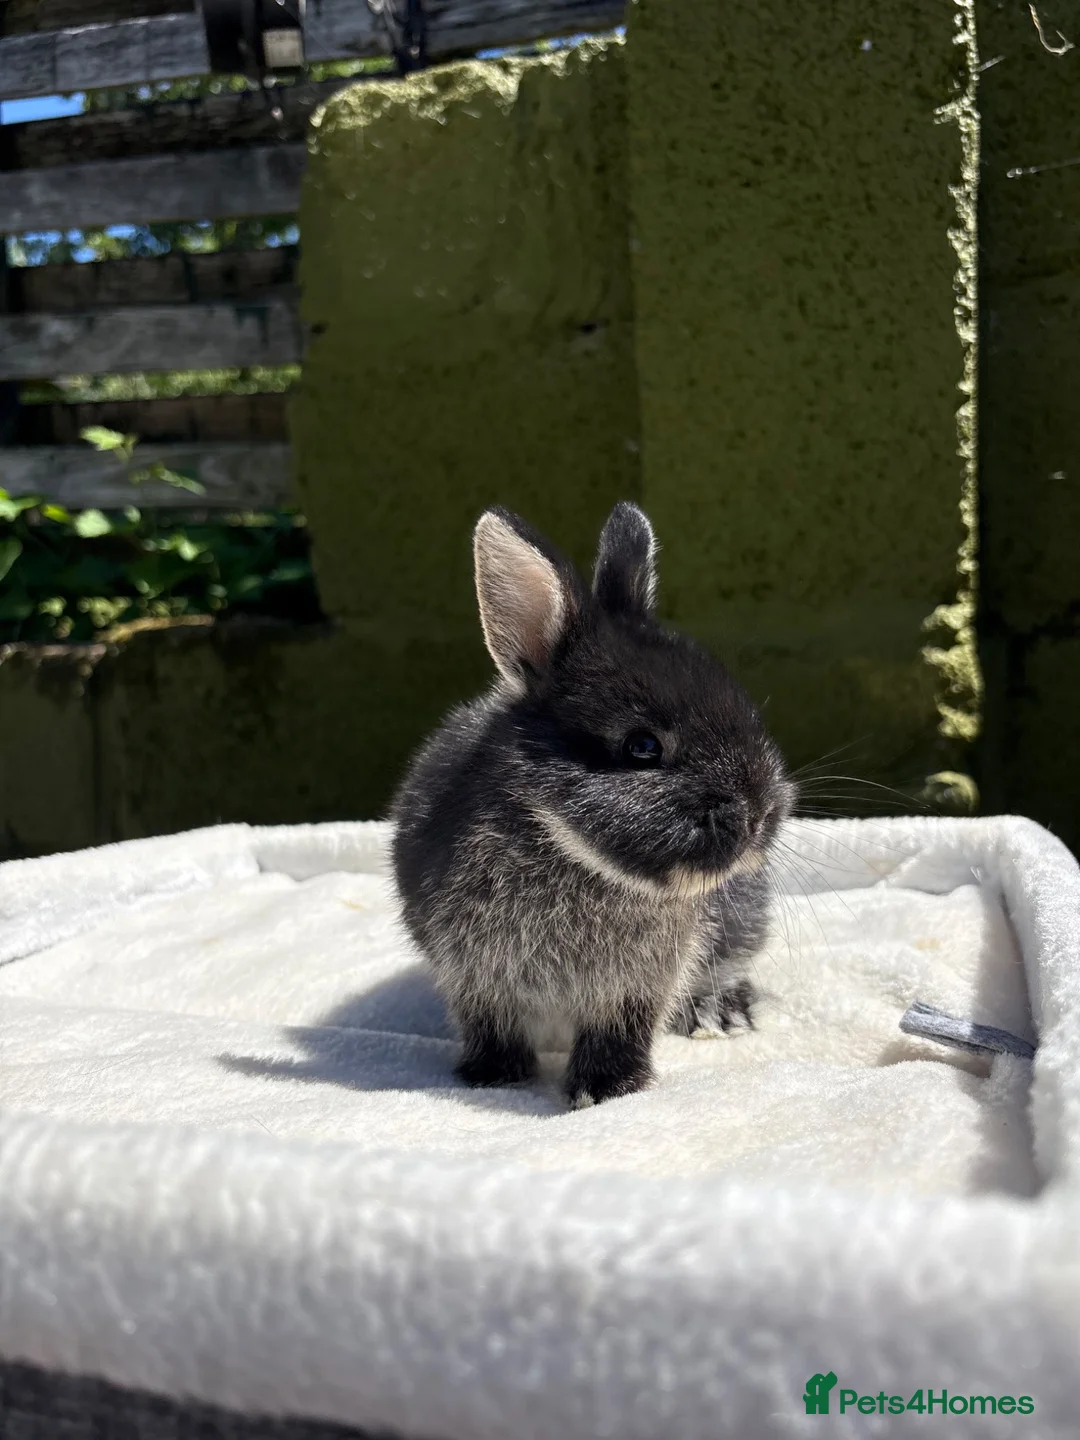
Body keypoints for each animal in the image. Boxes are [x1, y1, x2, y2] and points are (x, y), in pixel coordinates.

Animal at [390, 502, 794, 1106]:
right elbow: (489, 1022)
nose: (762, 814)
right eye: (642, 747)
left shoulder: (637, 985)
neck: (563, 844)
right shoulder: (474, 976)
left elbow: (619, 1027)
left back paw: (719, 1014)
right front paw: (493, 1076)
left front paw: (607, 1089)